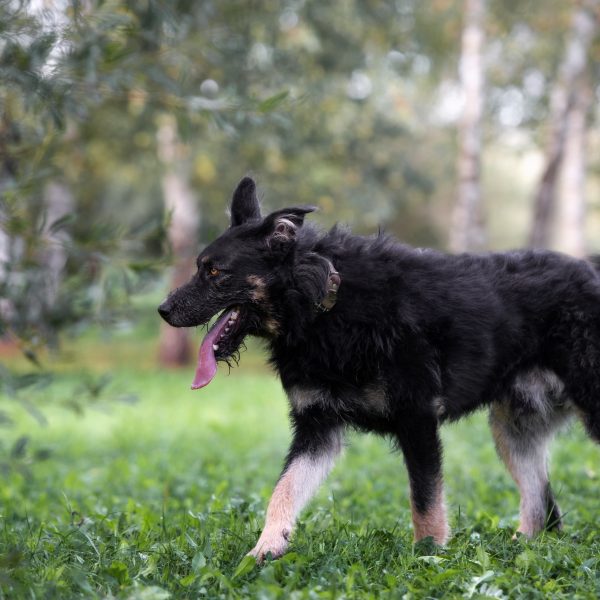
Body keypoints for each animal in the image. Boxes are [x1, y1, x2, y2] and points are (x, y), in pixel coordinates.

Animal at [158, 176, 600, 560]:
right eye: (202, 267)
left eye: (215, 272)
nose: (162, 310)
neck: (325, 304)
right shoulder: (317, 429)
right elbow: (284, 488)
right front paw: (266, 547)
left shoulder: (417, 419)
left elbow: (425, 500)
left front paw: (428, 555)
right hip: (513, 430)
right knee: (543, 509)